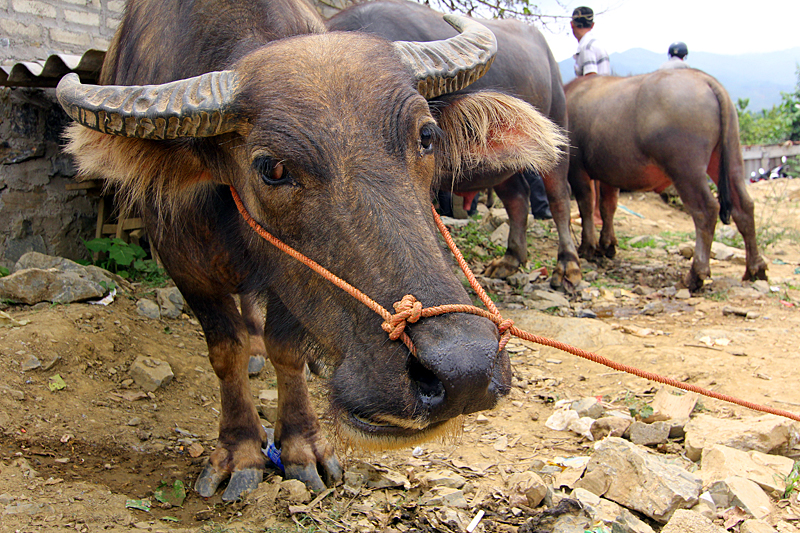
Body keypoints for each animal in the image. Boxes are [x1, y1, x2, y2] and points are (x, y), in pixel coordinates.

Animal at [324, 0, 580, 290]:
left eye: (425, 136)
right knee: (517, 196)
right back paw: (511, 258)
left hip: (558, 127)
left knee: (559, 197)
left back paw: (568, 265)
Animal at [564, 69, 768, 294]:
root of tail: (704, 79)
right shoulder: (609, 173)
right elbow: (608, 206)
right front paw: (607, 244)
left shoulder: (577, 168)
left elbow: (586, 205)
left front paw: (587, 247)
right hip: (731, 157)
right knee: (744, 206)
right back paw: (755, 268)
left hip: (686, 170)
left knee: (706, 210)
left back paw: (696, 274)